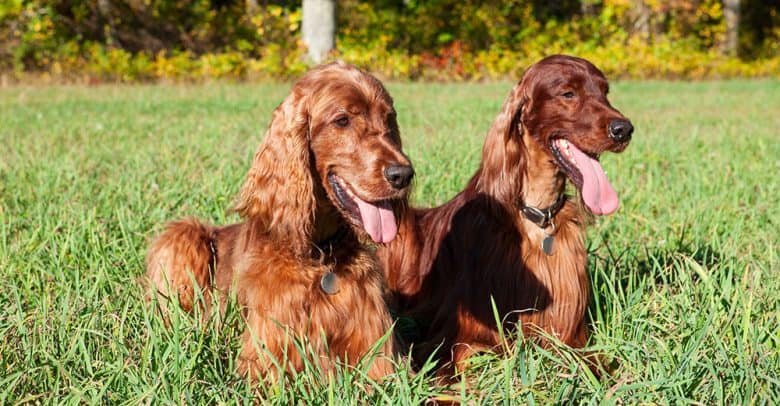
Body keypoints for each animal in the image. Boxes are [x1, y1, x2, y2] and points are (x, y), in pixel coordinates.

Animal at [145, 61, 414, 380]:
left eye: (389, 118)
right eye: (342, 120)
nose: (403, 174)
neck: (320, 254)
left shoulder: (381, 357)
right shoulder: (266, 359)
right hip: (184, 234)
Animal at [378, 54, 632, 378]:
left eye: (605, 92)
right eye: (568, 93)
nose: (624, 130)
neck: (536, 216)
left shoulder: (568, 333)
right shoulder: (460, 336)